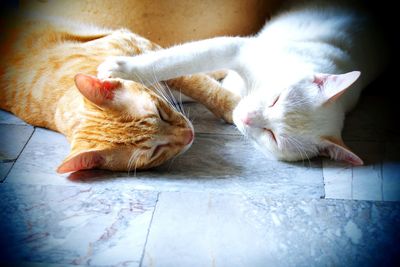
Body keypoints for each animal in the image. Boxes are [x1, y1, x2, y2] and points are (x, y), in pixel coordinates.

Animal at [0, 15, 238, 174]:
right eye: (155, 152)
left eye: (160, 112)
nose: (189, 135)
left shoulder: (143, 47)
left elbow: (198, 81)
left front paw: (233, 104)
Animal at [97, 0, 388, 165]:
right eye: (276, 100)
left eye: (273, 136)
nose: (247, 118)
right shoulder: (235, 48)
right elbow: (175, 61)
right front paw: (121, 70)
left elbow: (197, 84)